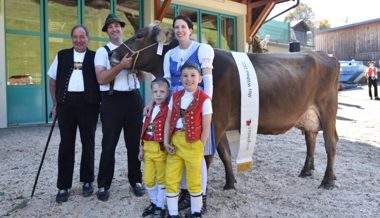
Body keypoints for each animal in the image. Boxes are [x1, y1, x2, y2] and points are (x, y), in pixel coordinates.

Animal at [110, 23, 338, 190]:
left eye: (139, 35)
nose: (113, 54)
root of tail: (325, 55)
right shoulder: (217, 122)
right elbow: (225, 153)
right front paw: (230, 183)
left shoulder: (216, 121)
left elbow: (208, 157)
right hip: (309, 115)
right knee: (311, 138)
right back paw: (306, 171)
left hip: (328, 110)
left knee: (330, 142)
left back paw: (327, 180)